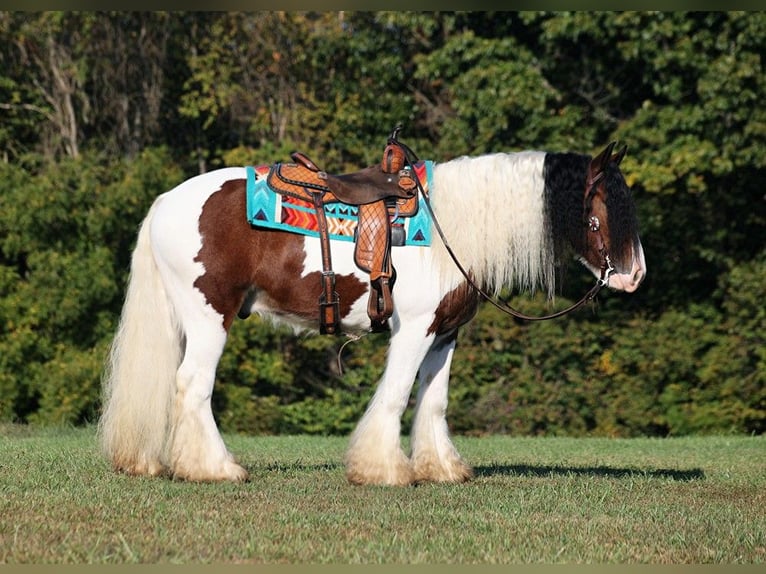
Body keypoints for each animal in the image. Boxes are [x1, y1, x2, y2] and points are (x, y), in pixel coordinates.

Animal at [97, 142, 648, 488]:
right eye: (596, 215)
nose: (635, 275)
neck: (452, 227)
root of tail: (166, 202)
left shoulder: (445, 335)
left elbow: (433, 402)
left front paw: (442, 469)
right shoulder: (414, 330)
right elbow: (397, 395)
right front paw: (382, 470)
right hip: (210, 318)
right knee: (192, 385)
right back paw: (215, 469)